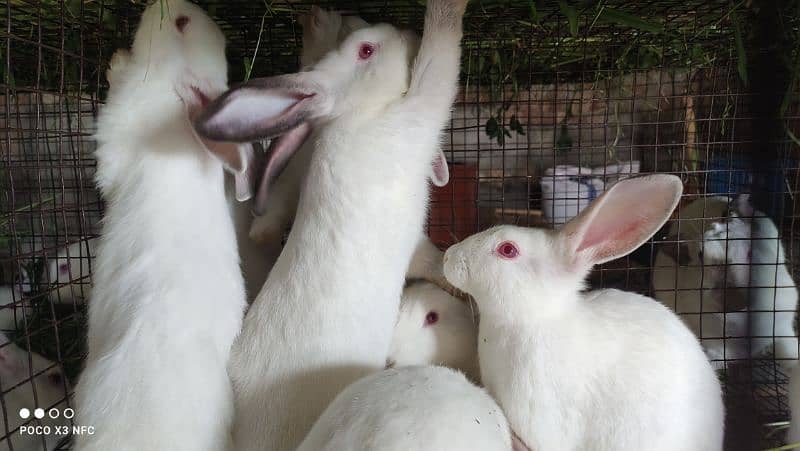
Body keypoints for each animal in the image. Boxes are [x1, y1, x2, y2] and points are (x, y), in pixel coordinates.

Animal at [193, 0, 466, 446]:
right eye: (366, 50)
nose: (406, 32)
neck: (357, 116)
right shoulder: (418, 113)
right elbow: (439, 58)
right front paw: (446, 10)